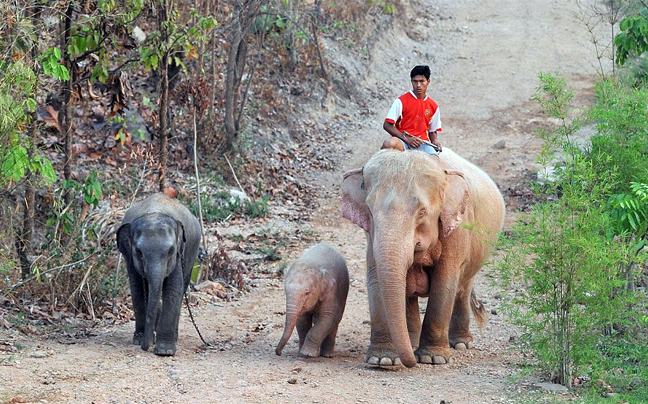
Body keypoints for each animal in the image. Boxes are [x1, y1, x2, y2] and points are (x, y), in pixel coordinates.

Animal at [116, 194, 201, 356]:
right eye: (139, 252)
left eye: (170, 251)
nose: (145, 346)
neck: (154, 213)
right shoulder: (129, 258)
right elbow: (137, 290)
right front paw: (138, 340)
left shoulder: (178, 254)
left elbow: (173, 290)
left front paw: (164, 351)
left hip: (192, 253)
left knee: (183, 288)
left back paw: (174, 336)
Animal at [342, 149, 504, 370]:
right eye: (370, 211)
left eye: (422, 212)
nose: (409, 363)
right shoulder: (371, 237)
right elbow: (375, 278)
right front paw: (382, 359)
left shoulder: (457, 231)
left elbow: (444, 282)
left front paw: (431, 359)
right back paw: (412, 343)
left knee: (462, 289)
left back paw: (460, 343)